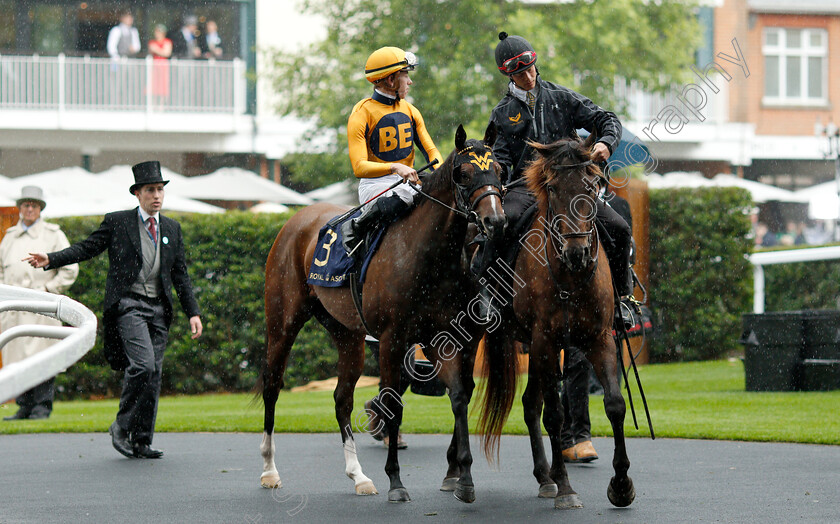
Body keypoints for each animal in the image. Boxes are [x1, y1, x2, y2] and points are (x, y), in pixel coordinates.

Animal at [260, 124, 512, 504]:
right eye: (464, 174)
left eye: (498, 169)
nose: (494, 220)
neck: (428, 254)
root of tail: (297, 219)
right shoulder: (393, 340)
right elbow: (394, 406)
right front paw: (396, 480)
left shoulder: (446, 338)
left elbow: (458, 397)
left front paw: (464, 478)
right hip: (283, 324)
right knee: (272, 387)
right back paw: (270, 470)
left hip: (346, 333)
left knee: (342, 399)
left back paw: (359, 476)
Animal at [482, 133, 632, 510]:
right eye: (551, 187)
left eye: (591, 186)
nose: (576, 252)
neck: (570, 276)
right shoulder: (546, 342)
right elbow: (554, 414)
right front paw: (565, 488)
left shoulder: (599, 339)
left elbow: (615, 404)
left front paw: (622, 484)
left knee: (529, 404)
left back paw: (543, 477)